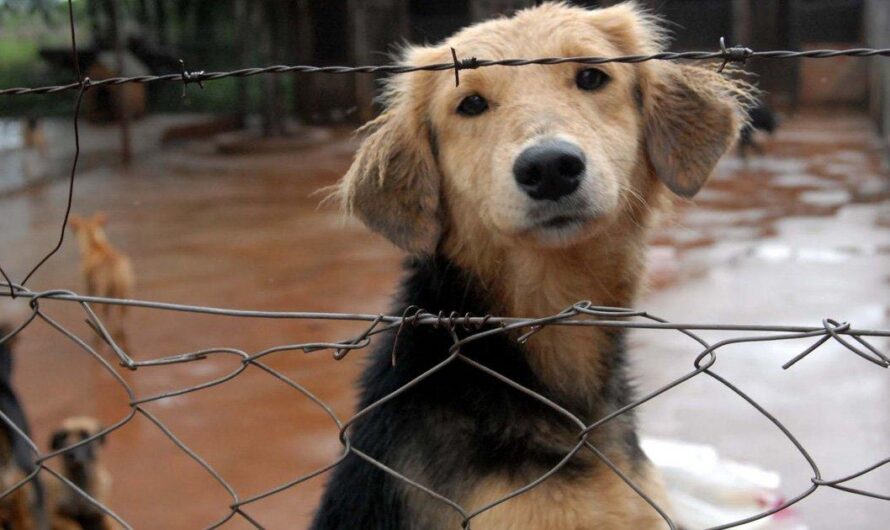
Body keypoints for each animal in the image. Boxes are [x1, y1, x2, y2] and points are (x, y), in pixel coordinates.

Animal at [67, 210, 134, 350]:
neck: (94, 243)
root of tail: (114, 265)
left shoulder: (89, 286)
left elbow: (92, 306)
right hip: (125, 291)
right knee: (121, 315)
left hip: (103, 292)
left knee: (106, 314)